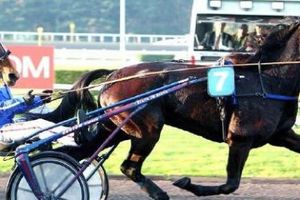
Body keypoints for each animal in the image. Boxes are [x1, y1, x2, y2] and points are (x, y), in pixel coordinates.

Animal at [41, 22, 298, 200]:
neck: (268, 78)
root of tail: (114, 74)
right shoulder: (240, 139)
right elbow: (230, 184)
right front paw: (185, 183)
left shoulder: (281, 134)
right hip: (147, 130)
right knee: (128, 166)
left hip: (117, 128)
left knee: (72, 154)